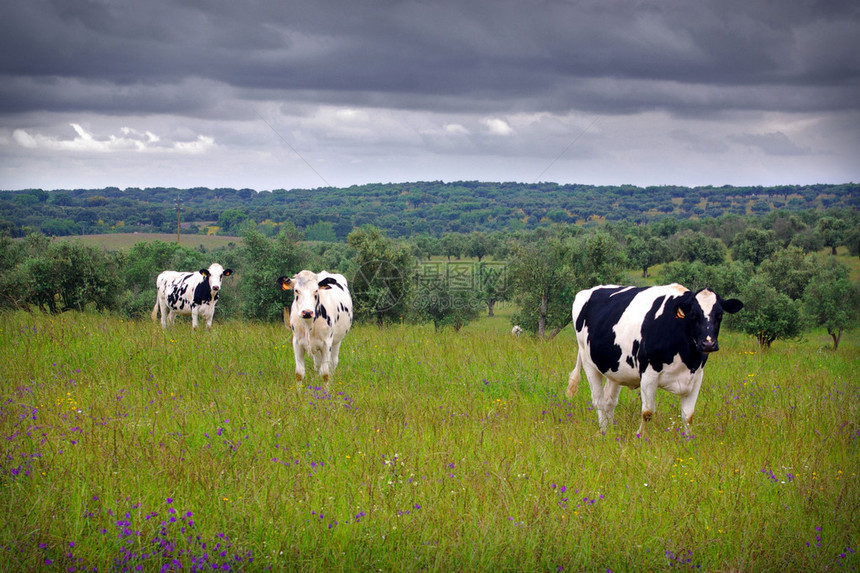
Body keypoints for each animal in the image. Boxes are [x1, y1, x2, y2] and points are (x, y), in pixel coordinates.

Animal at [568, 282, 744, 434]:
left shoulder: (697, 376)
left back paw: (610, 430)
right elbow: (647, 413)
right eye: (693, 315)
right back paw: (604, 431)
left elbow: (688, 416)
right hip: (588, 362)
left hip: (616, 368)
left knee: (609, 400)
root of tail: (586, 291)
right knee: (598, 401)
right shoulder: (648, 373)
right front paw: (640, 437)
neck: (687, 357)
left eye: (719, 315)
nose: (708, 344)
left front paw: (688, 441)